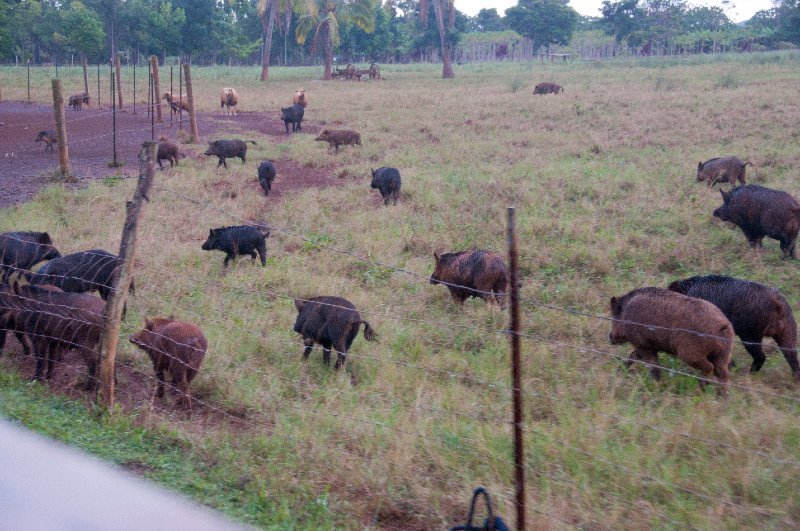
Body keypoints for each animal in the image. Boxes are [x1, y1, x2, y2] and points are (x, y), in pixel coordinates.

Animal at [608, 288, 736, 388]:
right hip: (723, 354)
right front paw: (619, 371)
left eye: (615, 316)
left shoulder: (643, 344)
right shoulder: (646, 345)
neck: (626, 314)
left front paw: (657, 384)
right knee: (723, 374)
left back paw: (702, 388)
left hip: (690, 353)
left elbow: (652, 364)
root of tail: (722, 326)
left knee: (709, 368)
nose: (610, 337)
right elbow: (632, 356)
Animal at [668, 278, 800, 378]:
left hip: (750, 329)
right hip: (787, 326)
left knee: (759, 355)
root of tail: (776, 304)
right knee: (790, 351)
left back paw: (750, 373)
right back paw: (795, 375)